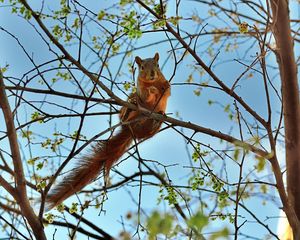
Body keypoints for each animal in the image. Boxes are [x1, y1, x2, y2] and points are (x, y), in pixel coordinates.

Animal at [44, 52, 171, 210]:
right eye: (142, 67)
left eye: (158, 65)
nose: (152, 74)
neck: (152, 82)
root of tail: (131, 130)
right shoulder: (140, 90)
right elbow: (146, 95)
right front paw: (151, 91)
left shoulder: (164, 88)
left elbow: (166, 92)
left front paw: (163, 87)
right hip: (130, 102)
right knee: (127, 109)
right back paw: (129, 110)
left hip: (151, 129)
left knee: (150, 129)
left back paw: (156, 120)